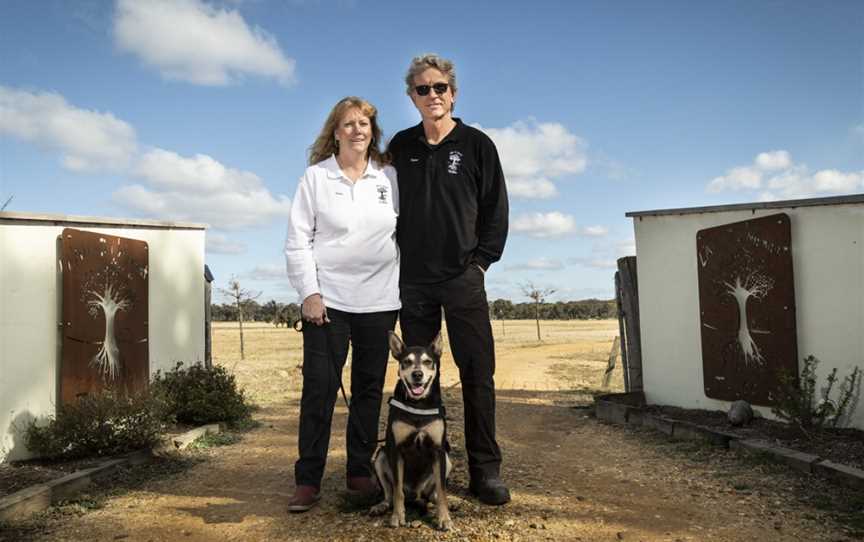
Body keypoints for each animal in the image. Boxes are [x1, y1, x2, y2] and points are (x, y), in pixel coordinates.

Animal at [370, 332, 456, 532]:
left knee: (434, 494)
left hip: (446, 459)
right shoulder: (396, 450)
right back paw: (381, 506)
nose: (418, 374)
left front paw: (444, 518)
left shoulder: (438, 450)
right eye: (406, 362)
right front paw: (397, 516)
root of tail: (416, 494)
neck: (418, 404)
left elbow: (442, 490)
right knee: (389, 494)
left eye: (428, 361)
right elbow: (397, 490)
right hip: (380, 456)